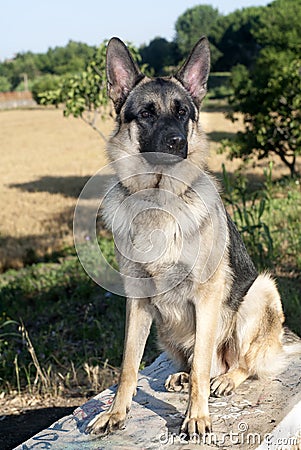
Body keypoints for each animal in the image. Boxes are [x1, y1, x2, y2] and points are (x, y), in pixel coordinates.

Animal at [86, 37, 298, 438]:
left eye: (183, 113)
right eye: (147, 113)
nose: (176, 142)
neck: (158, 199)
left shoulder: (206, 295)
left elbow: (201, 365)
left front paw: (196, 416)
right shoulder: (137, 301)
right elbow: (128, 367)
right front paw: (116, 413)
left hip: (260, 291)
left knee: (236, 363)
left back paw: (226, 379)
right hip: (165, 329)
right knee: (194, 362)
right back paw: (180, 377)